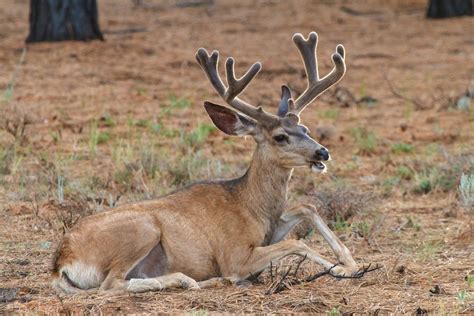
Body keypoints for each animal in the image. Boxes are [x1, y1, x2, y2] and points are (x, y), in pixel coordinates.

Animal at [51, 32, 362, 294]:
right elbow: (297, 241)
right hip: (142, 228)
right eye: (280, 136)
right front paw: (344, 270)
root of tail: (61, 264)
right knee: (110, 285)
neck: (252, 206)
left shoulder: (271, 230)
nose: (322, 153)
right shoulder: (235, 255)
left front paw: (351, 262)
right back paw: (189, 280)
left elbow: (306, 207)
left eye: (305, 128)